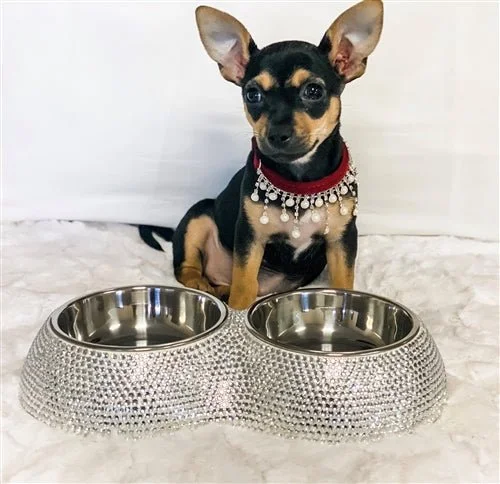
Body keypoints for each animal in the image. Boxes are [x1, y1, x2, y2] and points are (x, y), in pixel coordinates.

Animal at [139, 0, 384, 310]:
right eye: (252, 94)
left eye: (313, 91)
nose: (277, 134)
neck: (300, 182)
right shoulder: (250, 238)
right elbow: (243, 287)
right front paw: (238, 315)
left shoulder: (342, 240)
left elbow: (343, 284)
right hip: (199, 215)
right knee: (188, 269)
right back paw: (203, 285)